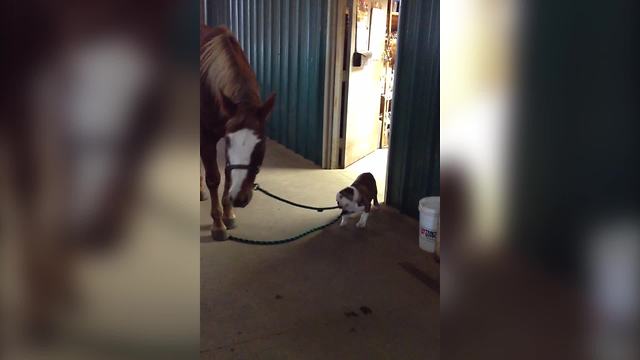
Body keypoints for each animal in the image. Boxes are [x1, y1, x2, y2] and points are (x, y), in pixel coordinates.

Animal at [200, 26, 276, 242]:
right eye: (229, 140)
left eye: (261, 143)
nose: (240, 199)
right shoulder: (206, 139)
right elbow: (214, 178)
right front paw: (218, 224)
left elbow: (227, 174)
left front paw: (229, 214)